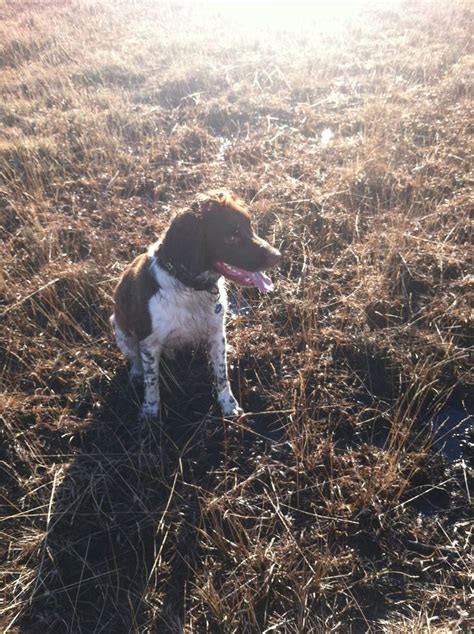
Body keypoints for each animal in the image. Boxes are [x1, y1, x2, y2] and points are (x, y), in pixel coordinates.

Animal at [110, 193, 282, 420]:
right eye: (232, 236)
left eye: (249, 226)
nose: (278, 255)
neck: (190, 287)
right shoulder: (149, 343)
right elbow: (152, 383)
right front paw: (150, 412)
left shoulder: (216, 332)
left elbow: (221, 374)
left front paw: (228, 405)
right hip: (119, 328)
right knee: (135, 358)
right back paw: (137, 373)